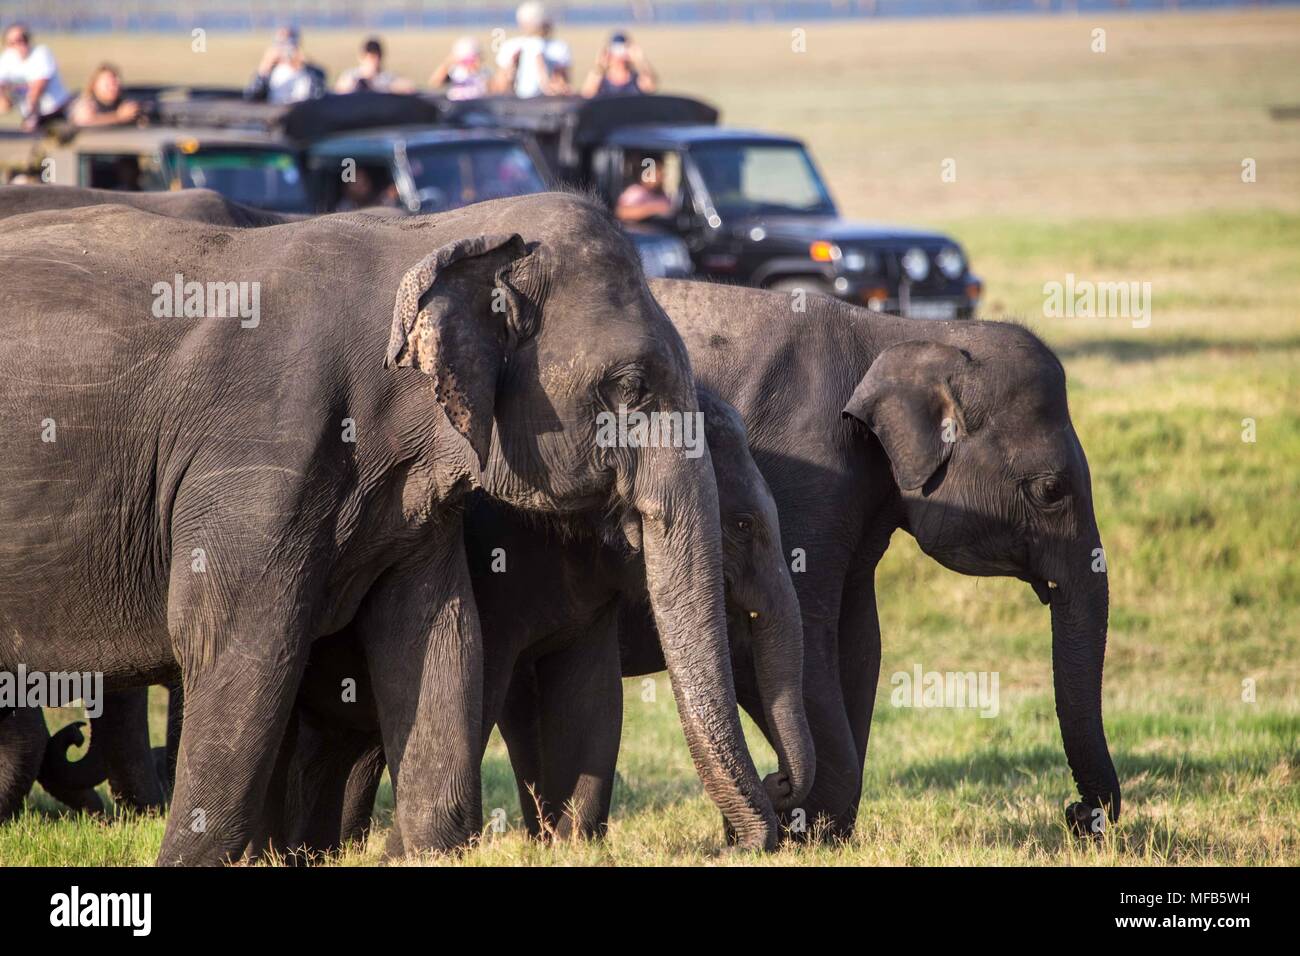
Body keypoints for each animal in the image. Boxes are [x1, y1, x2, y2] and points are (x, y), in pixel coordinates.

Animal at [258, 386, 811, 855]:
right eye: (742, 524)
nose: (777, 782)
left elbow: (593, 696)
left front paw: (569, 845)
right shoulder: (492, 564)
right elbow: (482, 685)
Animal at [638, 278, 1121, 840]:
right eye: (1050, 491)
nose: (1076, 814)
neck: (901, 334)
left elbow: (861, 638)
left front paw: (820, 832)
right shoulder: (802, 470)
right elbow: (801, 633)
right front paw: (803, 828)